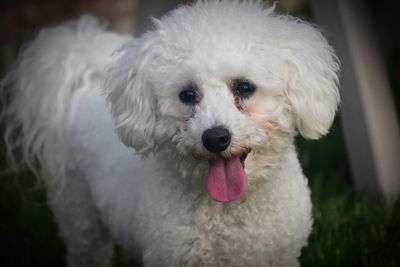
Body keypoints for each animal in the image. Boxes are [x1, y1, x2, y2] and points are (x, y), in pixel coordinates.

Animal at [2, 1, 340, 266]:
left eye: (244, 87)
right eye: (187, 95)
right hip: (80, 216)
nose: (215, 138)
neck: (228, 213)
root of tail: (84, 84)